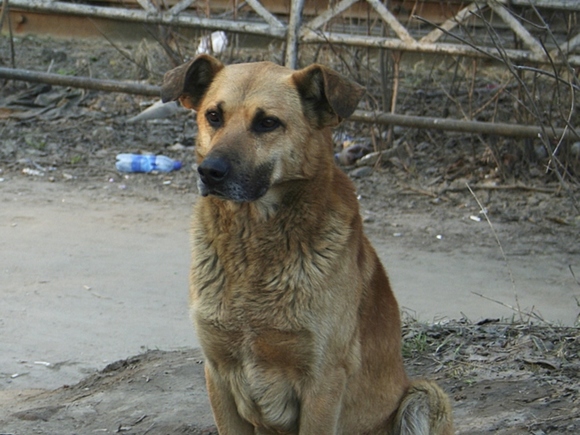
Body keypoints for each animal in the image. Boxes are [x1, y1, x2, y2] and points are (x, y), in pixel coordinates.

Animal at [162, 56, 454, 434]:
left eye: (267, 123)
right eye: (213, 116)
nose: (209, 171)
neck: (251, 242)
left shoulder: (323, 382)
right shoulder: (218, 374)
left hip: (426, 394)